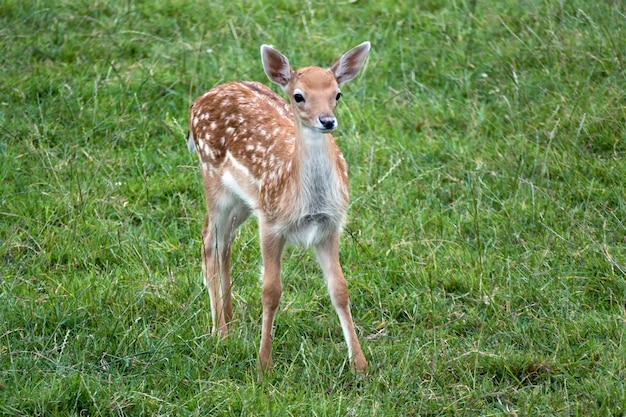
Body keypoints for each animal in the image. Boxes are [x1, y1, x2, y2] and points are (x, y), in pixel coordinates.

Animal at [185, 42, 370, 374]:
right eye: (298, 96)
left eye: (337, 94)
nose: (327, 121)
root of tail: (198, 102)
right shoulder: (271, 224)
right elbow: (270, 292)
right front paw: (263, 364)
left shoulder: (330, 226)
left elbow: (340, 290)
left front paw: (360, 365)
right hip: (212, 179)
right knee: (209, 241)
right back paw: (220, 332)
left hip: (245, 201)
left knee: (225, 242)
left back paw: (230, 318)